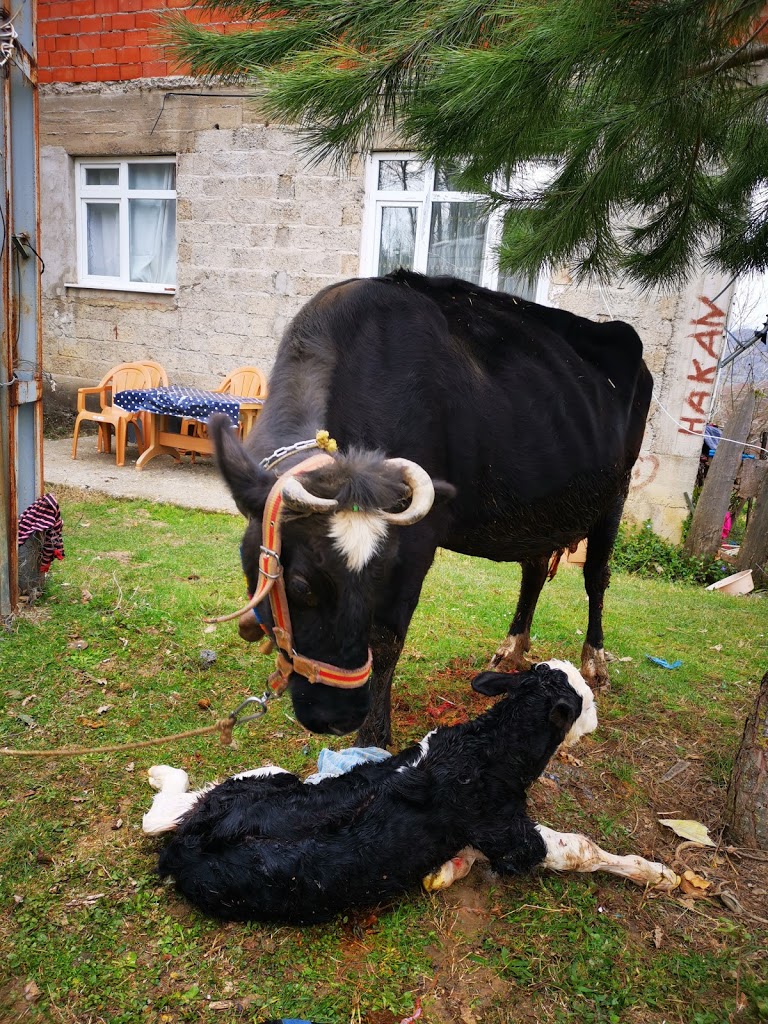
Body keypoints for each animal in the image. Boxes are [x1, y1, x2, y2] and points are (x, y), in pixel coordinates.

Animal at [144, 659, 679, 925]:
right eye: (584, 696)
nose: (598, 715)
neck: (486, 747)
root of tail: (188, 848)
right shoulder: (509, 835)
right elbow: (581, 850)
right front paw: (658, 874)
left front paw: (450, 868)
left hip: (264, 784)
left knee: (164, 814)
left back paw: (159, 772)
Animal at [211, 272, 655, 745]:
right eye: (299, 586)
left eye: (381, 576)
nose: (339, 717)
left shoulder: (417, 541)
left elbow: (387, 638)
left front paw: (371, 737)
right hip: (544, 506)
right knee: (534, 571)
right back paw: (511, 648)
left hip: (617, 491)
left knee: (596, 577)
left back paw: (596, 662)